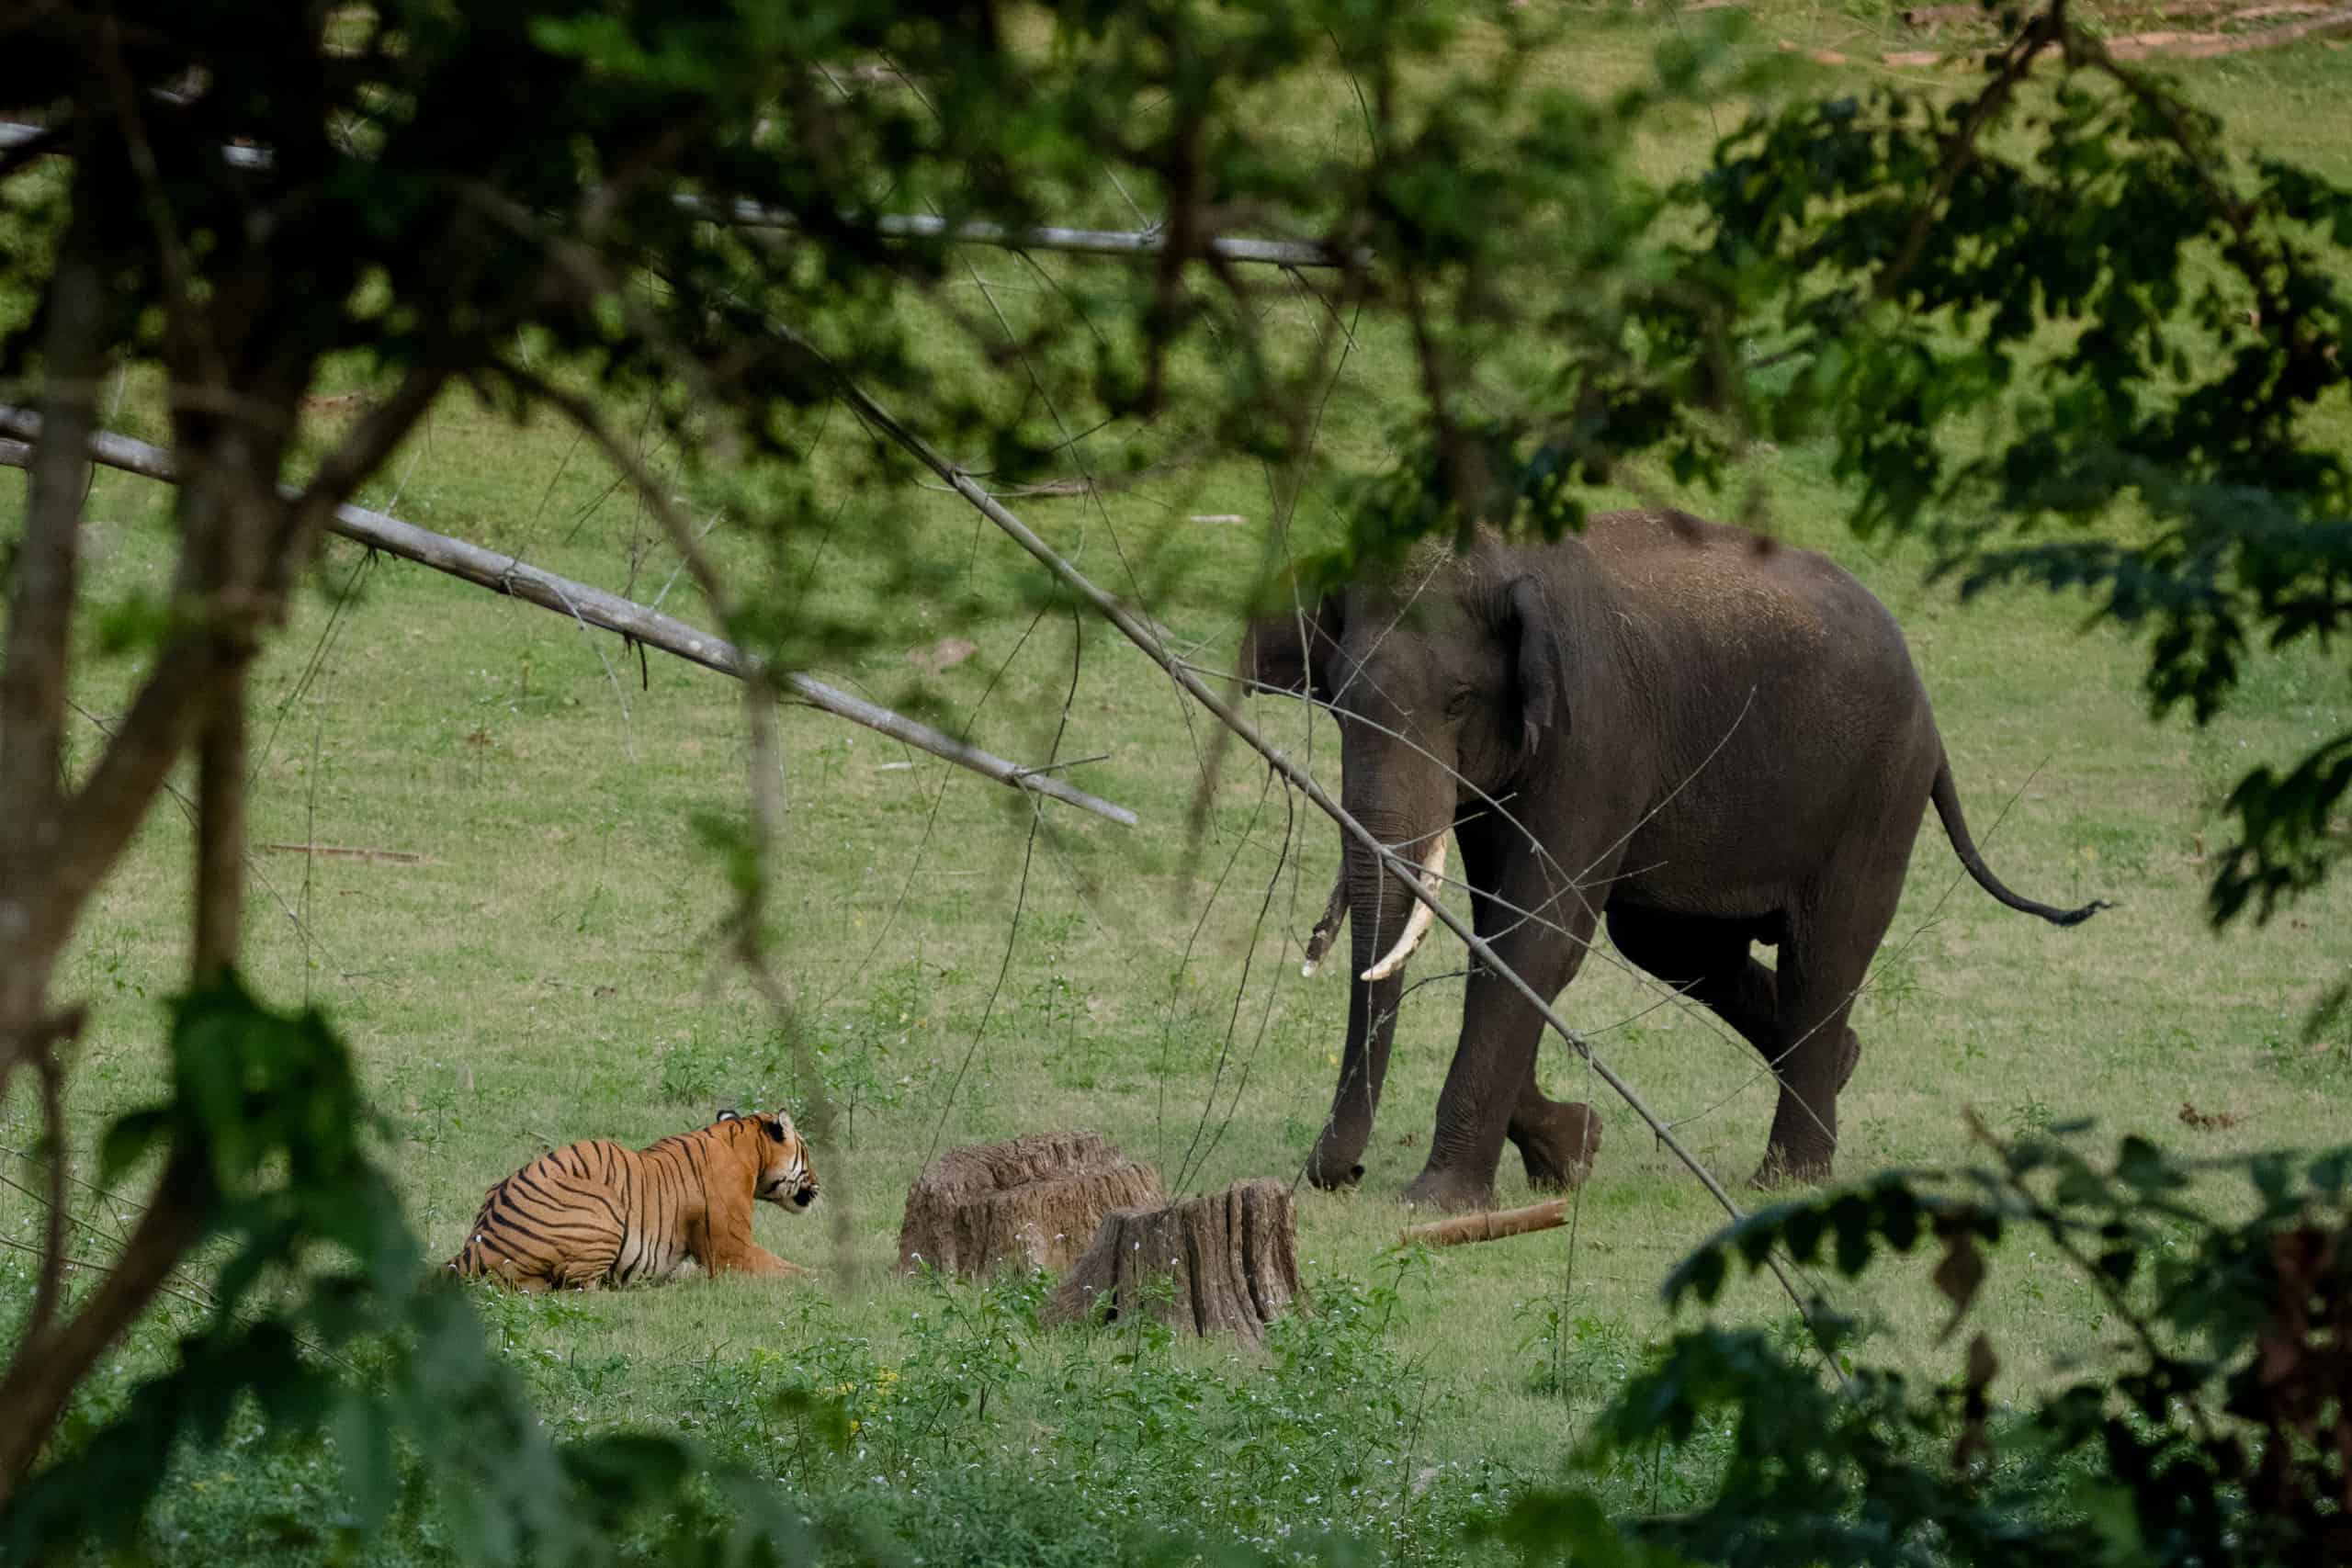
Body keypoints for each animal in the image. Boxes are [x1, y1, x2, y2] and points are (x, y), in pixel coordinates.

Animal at [445, 1108, 819, 1291]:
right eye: (807, 1151)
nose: (817, 1184)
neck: (749, 1150)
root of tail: (474, 1247)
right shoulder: (733, 1254)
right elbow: (794, 1269)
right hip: (603, 1207)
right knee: (574, 1286)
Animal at [1242, 509, 2105, 1210]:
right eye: (1336, 699)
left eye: (1457, 701)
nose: (1337, 1174)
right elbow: (1503, 936)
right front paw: (1572, 1153)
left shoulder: (1597, 732)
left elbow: (1540, 935)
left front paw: (1439, 1200)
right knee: (1676, 945)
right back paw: (1843, 1065)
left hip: (1878, 788)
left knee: (1824, 953)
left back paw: (1786, 1176)